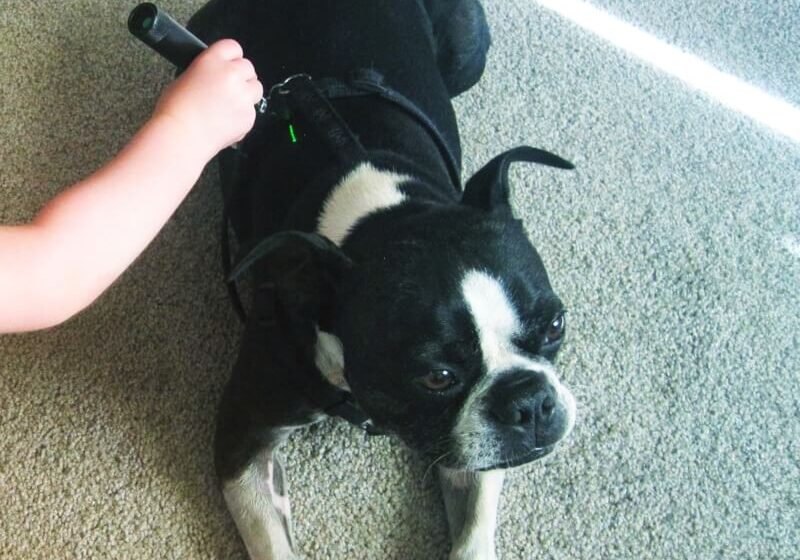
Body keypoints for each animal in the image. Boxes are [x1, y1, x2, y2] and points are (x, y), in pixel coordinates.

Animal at [187, 1, 576, 560]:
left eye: (555, 326)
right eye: (436, 377)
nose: (530, 402)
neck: (380, 215)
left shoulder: (471, 455)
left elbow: (473, 536)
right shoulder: (245, 437)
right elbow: (273, 543)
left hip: (469, 55)